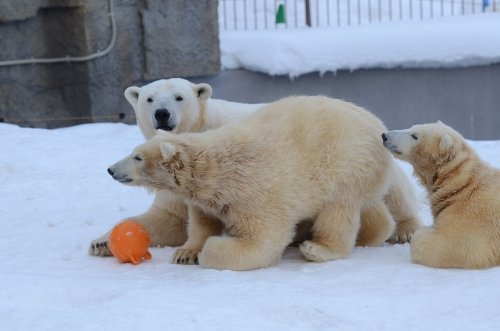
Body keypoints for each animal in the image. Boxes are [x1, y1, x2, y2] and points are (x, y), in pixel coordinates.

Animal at [88, 79, 420, 258]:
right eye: (149, 98)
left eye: (179, 97)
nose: (162, 113)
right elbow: (167, 218)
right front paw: (102, 241)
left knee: (380, 196)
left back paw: (399, 230)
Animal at [382, 122, 500, 270]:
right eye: (411, 128)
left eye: (415, 136)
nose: (385, 136)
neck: (460, 185)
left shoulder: (474, 213)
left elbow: (455, 246)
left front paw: (419, 233)